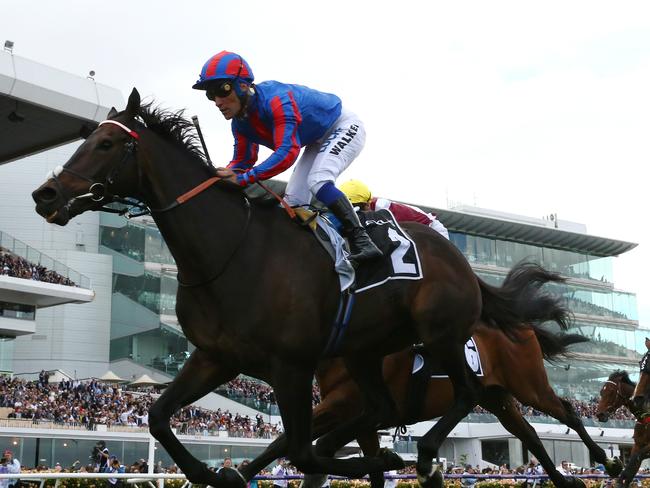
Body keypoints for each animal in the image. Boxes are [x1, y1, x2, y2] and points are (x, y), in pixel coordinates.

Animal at [33, 87, 572, 488]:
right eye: (86, 138)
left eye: (106, 144)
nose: (46, 194)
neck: (230, 250)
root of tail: (461, 262)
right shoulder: (216, 357)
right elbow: (160, 416)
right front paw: (216, 472)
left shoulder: (291, 366)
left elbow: (299, 449)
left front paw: (377, 461)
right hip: (370, 352)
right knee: (406, 409)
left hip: (445, 338)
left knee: (478, 397)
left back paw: (424, 456)